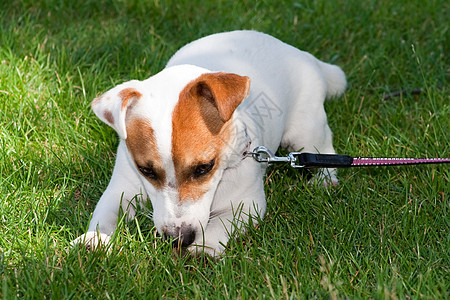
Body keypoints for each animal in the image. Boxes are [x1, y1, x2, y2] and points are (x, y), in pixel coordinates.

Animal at [70, 29, 346, 255]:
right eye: (146, 170)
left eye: (204, 167)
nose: (178, 239)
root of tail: (301, 54)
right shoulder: (122, 187)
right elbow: (107, 210)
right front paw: (94, 238)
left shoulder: (248, 204)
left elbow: (221, 225)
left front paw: (202, 249)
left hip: (305, 130)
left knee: (324, 148)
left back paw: (324, 180)